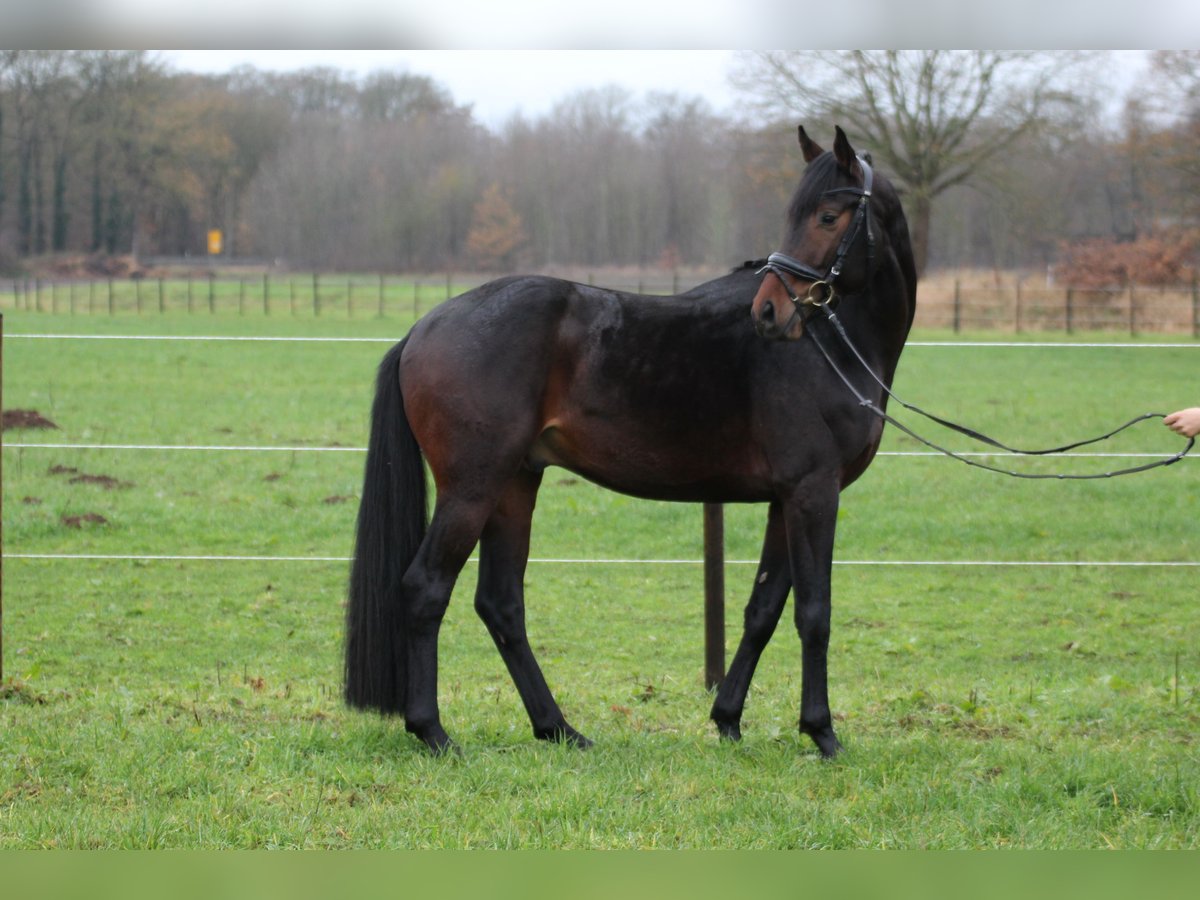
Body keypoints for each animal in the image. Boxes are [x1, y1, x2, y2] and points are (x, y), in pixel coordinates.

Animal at [344, 126, 917, 757]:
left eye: (828, 215)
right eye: (806, 214)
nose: (770, 311)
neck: (830, 345)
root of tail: (422, 329)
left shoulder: (786, 501)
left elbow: (763, 609)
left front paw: (728, 719)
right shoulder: (814, 493)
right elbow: (814, 613)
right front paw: (822, 732)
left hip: (515, 485)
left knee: (500, 604)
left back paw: (558, 728)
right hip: (472, 489)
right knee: (426, 589)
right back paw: (434, 732)